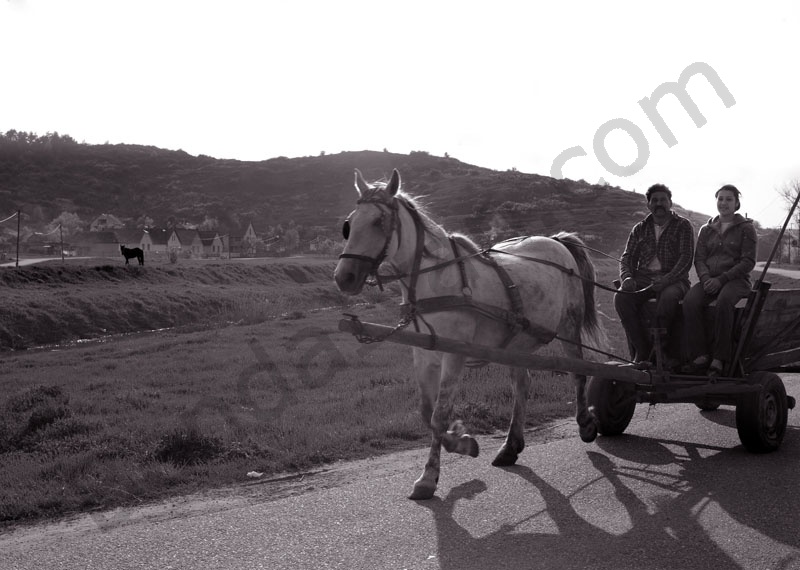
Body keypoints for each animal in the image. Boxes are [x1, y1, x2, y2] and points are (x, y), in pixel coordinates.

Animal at [332, 168, 600, 496]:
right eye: (349, 224)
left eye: (379, 221)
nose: (344, 277)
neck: (437, 279)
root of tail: (555, 240)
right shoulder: (423, 353)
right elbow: (426, 412)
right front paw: (461, 441)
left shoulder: (454, 354)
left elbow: (439, 415)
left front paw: (429, 476)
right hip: (517, 344)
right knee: (522, 385)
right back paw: (510, 446)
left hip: (569, 326)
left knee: (579, 372)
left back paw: (585, 423)